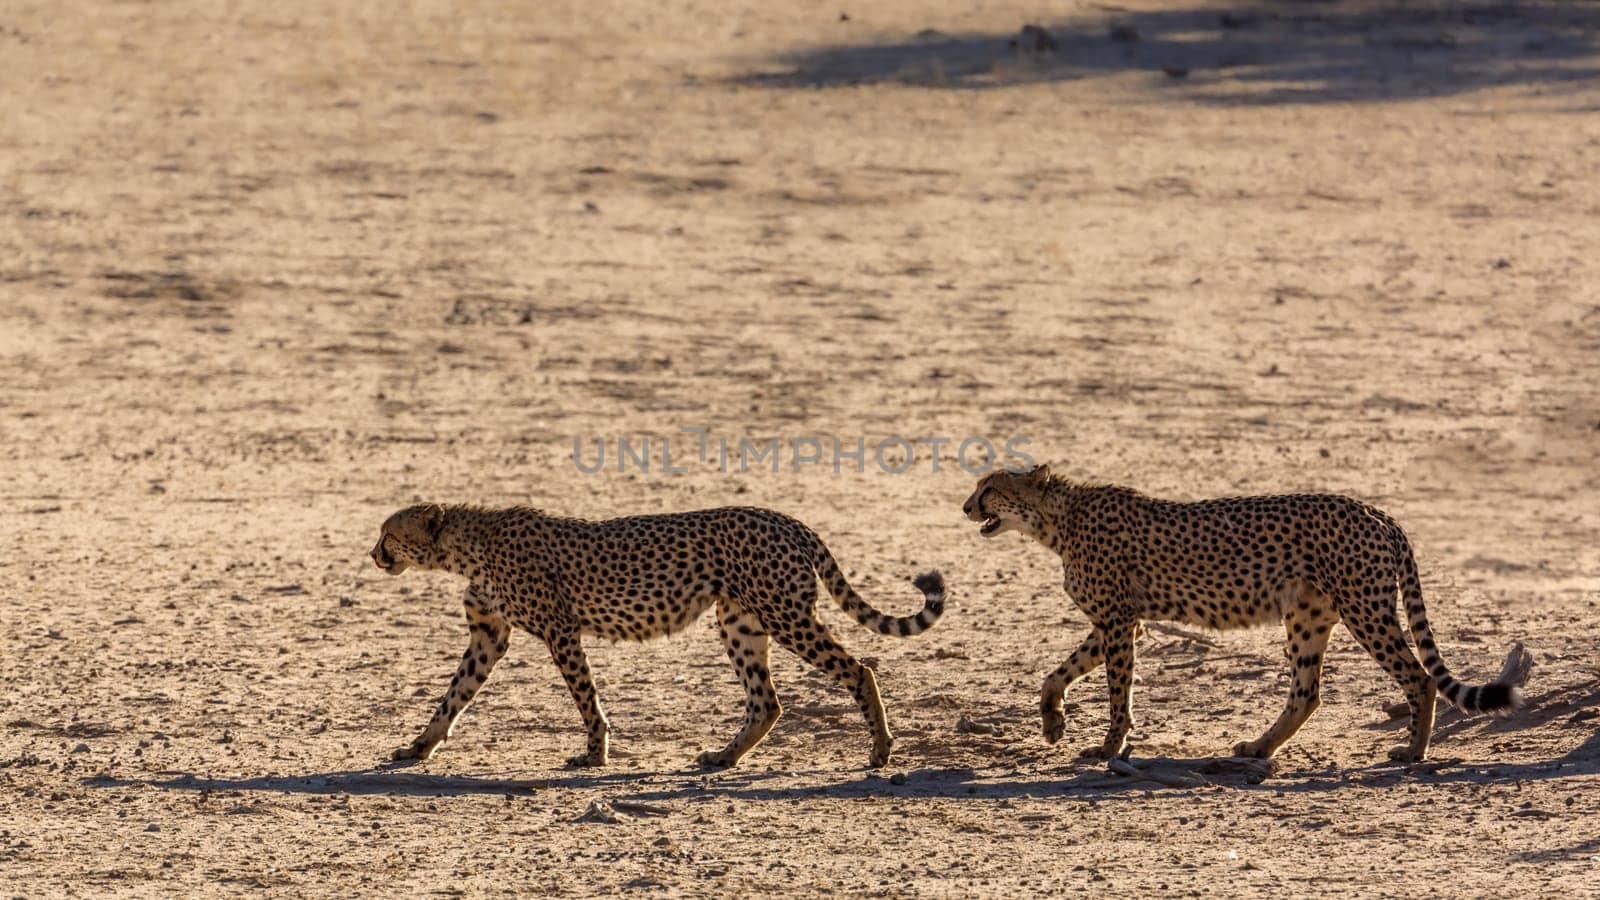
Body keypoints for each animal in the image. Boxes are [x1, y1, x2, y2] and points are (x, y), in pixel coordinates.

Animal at [368, 499, 940, 768]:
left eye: (388, 534)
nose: (373, 554)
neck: (466, 547)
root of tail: (784, 518)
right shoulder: (489, 635)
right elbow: (453, 696)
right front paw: (419, 746)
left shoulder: (560, 629)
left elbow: (585, 697)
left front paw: (595, 753)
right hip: (739, 621)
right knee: (767, 701)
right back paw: (724, 757)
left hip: (784, 615)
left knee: (859, 669)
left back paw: (881, 750)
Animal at [960, 464, 1523, 759]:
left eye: (990, 488)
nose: (966, 507)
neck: (1058, 521)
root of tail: (1377, 512)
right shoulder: (1122, 621)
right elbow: (1058, 672)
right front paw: (1053, 721)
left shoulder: (1119, 622)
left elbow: (1118, 690)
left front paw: (1110, 746)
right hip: (1307, 617)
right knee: (1307, 693)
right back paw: (1258, 747)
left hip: (1364, 608)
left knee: (1418, 678)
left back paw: (1413, 752)